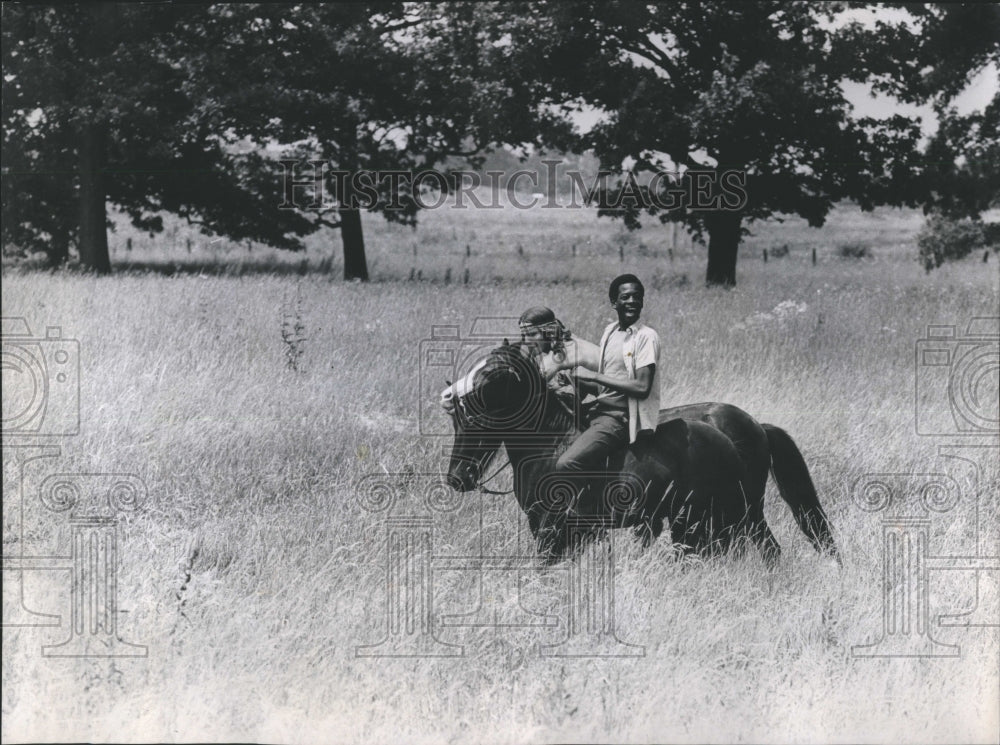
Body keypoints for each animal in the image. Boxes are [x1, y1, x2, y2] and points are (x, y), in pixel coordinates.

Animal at [442, 342, 840, 564]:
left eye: (490, 379)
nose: (457, 478)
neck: (551, 444)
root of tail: (755, 426)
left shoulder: (551, 527)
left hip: (734, 513)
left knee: (765, 550)